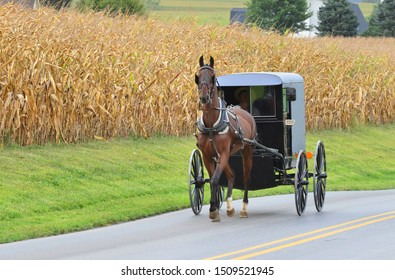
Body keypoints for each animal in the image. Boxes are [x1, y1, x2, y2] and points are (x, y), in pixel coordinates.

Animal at [194, 56, 256, 223]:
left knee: (246, 177)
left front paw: (213, 209)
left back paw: (244, 208)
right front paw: (215, 207)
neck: (211, 125)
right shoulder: (208, 156)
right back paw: (229, 206)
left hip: (246, 150)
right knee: (232, 175)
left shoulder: (223, 153)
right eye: (198, 76)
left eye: (213, 76)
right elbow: (212, 179)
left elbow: (215, 179)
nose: (204, 97)